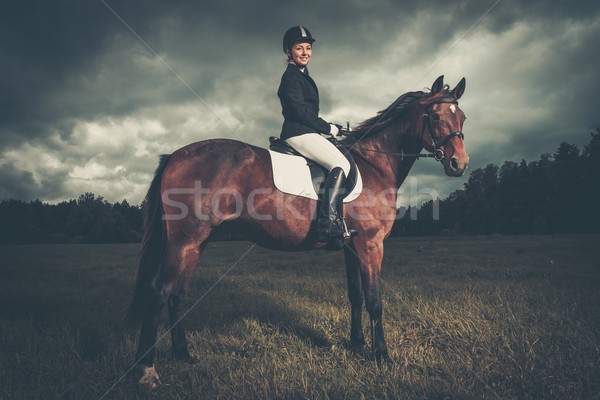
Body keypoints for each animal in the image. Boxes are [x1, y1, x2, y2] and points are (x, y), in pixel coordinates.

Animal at [126, 74, 472, 388]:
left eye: (463, 117)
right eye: (436, 116)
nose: (460, 164)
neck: (375, 165)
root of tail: (175, 155)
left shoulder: (352, 245)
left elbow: (355, 295)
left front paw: (358, 345)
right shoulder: (371, 245)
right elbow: (375, 299)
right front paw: (382, 356)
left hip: (197, 242)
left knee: (178, 294)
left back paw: (184, 355)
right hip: (185, 240)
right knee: (160, 291)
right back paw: (147, 372)